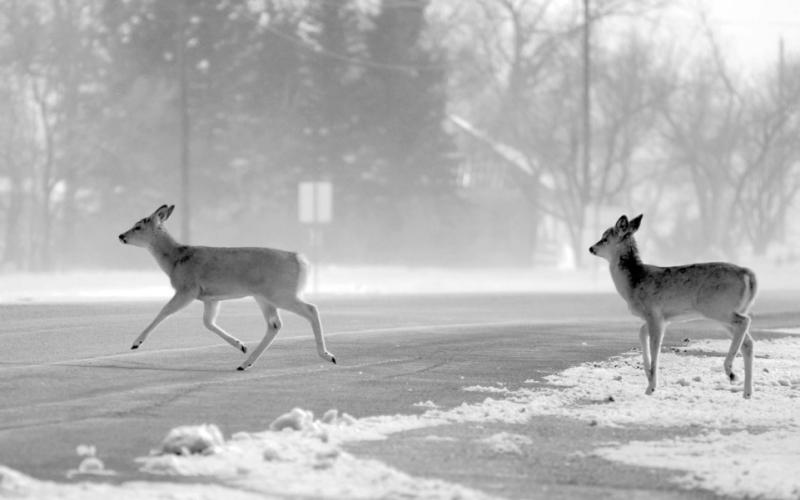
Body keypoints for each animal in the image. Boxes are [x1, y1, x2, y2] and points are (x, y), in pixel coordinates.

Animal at [118, 204, 336, 371]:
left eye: (138, 226)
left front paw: (136, 343)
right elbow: (208, 322)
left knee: (311, 309)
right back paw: (245, 363)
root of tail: (300, 260)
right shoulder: (210, 297)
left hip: (280, 292)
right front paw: (240, 345)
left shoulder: (187, 288)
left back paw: (328, 355)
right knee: (275, 325)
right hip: (264, 297)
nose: (121, 236)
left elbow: (164, 311)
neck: (175, 260)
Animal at [589, 214, 758, 399]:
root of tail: (748, 274)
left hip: (717, 308)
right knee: (748, 342)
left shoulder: (654, 313)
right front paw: (648, 377)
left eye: (605, 238)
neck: (633, 283)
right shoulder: (661, 318)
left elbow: (655, 349)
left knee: (745, 321)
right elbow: (641, 333)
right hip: (724, 313)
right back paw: (746, 392)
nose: (591, 248)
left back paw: (730, 371)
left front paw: (651, 387)